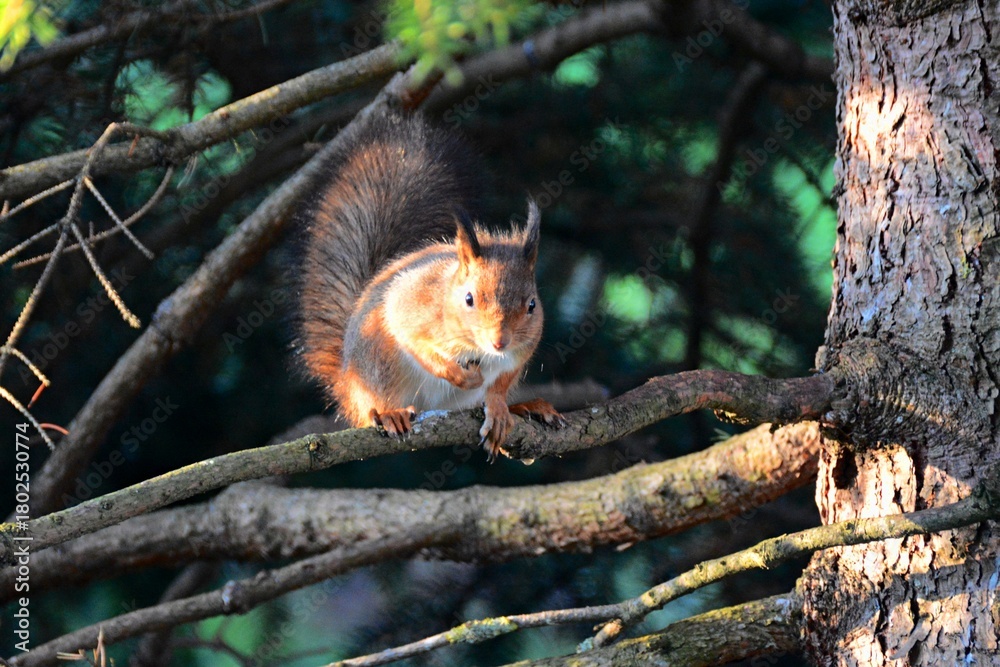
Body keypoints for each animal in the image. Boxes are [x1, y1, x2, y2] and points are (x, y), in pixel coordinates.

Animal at [296, 110, 565, 460]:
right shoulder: (409, 307)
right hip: (376, 366)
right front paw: (458, 374)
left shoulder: (520, 351)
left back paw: (526, 407)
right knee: (370, 409)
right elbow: (415, 343)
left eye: (532, 305)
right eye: (469, 299)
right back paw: (389, 413)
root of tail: (345, 381)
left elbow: (499, 386)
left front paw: (498, 408)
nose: (499, 342)